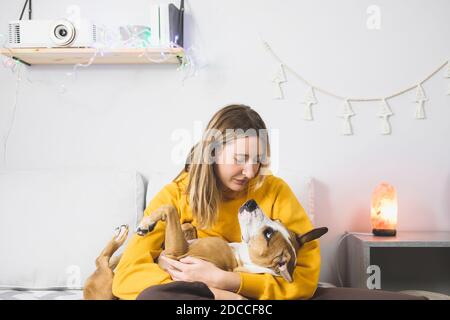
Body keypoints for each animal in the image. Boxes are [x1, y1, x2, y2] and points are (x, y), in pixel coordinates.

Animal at [83, 199, 326, 298]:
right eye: (275, 221)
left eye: (267, 234)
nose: (251, 203)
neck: (242, 256)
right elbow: (187, 225)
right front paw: (149, 224)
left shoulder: (176, 252)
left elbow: (170, 210)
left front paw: (146, 223)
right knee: (108, 260)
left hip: (105, 285)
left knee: (101, 260)